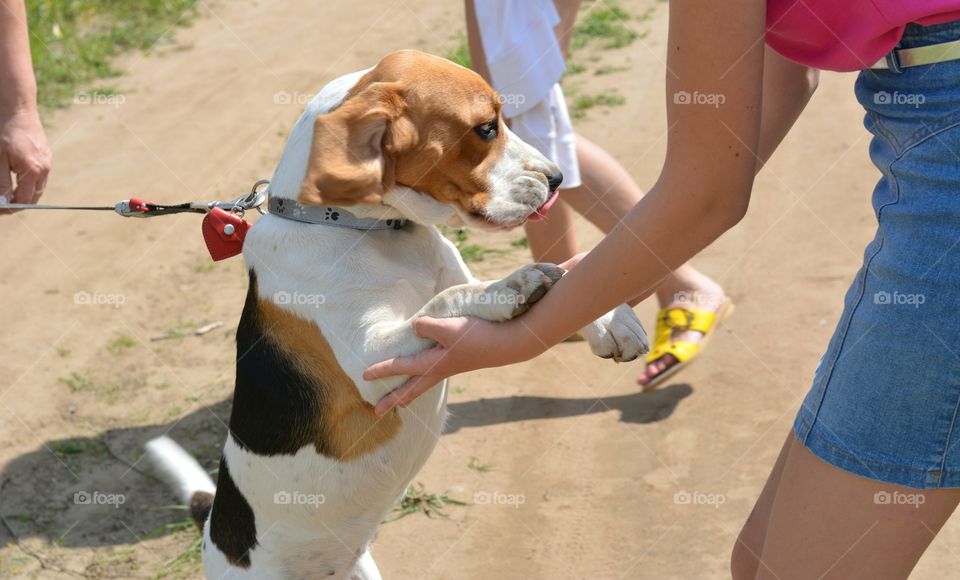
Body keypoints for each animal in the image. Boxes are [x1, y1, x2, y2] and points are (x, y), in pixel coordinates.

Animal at [146, 51, 648, 580]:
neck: (374, 231)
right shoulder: (372, 357)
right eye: (486, 128)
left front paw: (610, 317)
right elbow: (449, 300)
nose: (556, 179)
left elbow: (563, 281)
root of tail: (214, 527)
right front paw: (510, 287)